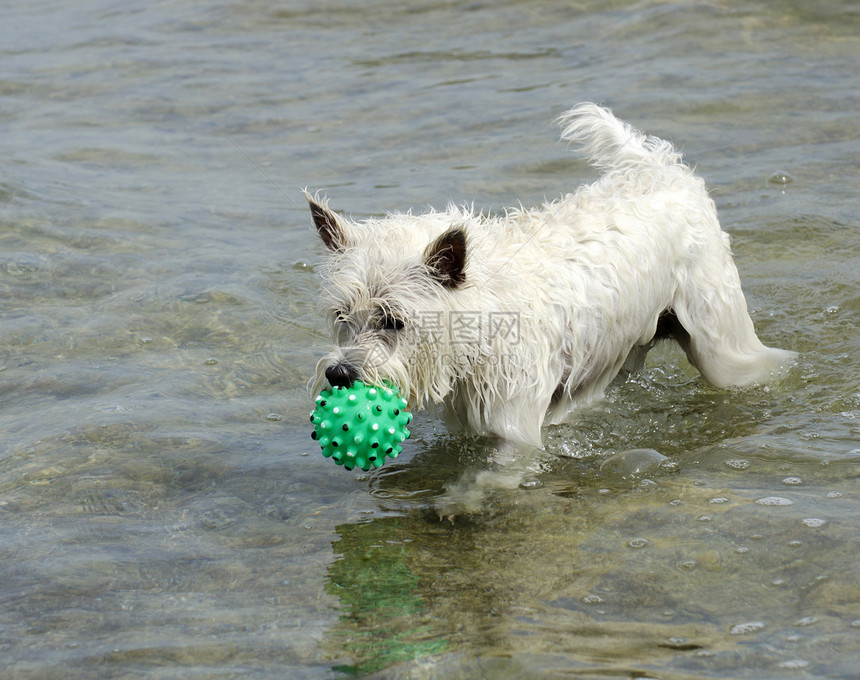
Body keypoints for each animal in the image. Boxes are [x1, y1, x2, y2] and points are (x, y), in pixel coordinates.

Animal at [308, 105, 792, 504]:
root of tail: (663, 169)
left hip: (718, 340)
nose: (339, 373)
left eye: (393, 321)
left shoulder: (515, 427)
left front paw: (459, 500)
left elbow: (493, 474)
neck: (485, 315)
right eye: (341, 316)